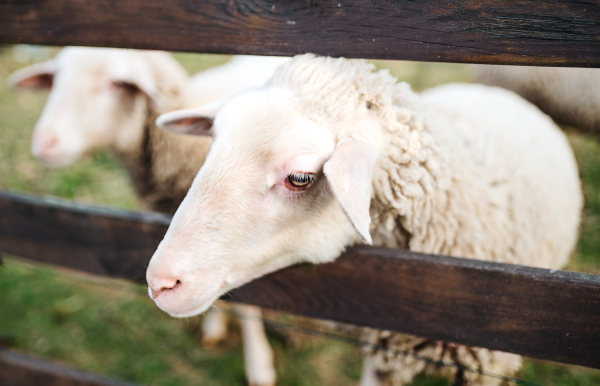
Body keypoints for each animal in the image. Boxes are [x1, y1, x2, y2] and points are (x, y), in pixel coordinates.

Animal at [6, 47, 288, 386]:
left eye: (117, 83)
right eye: (55, 79)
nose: (44, 143)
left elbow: (247, 304)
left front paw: (259, 365)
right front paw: (213, 326)